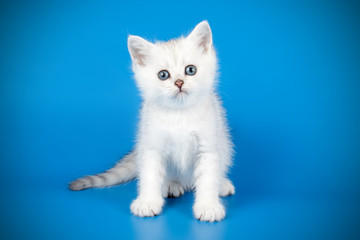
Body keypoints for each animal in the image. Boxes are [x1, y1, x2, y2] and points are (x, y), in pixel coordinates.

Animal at [69, 21, 235, 222]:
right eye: (163, 75)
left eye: (190, 70)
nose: (179, 82)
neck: (179, 114)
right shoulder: (151, 146)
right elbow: (150, 176)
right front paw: (147, 202)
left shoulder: (208, 147)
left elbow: (208, 178)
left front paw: (208, 206)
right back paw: (171, 185)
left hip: (225, 144)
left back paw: (222, 184)